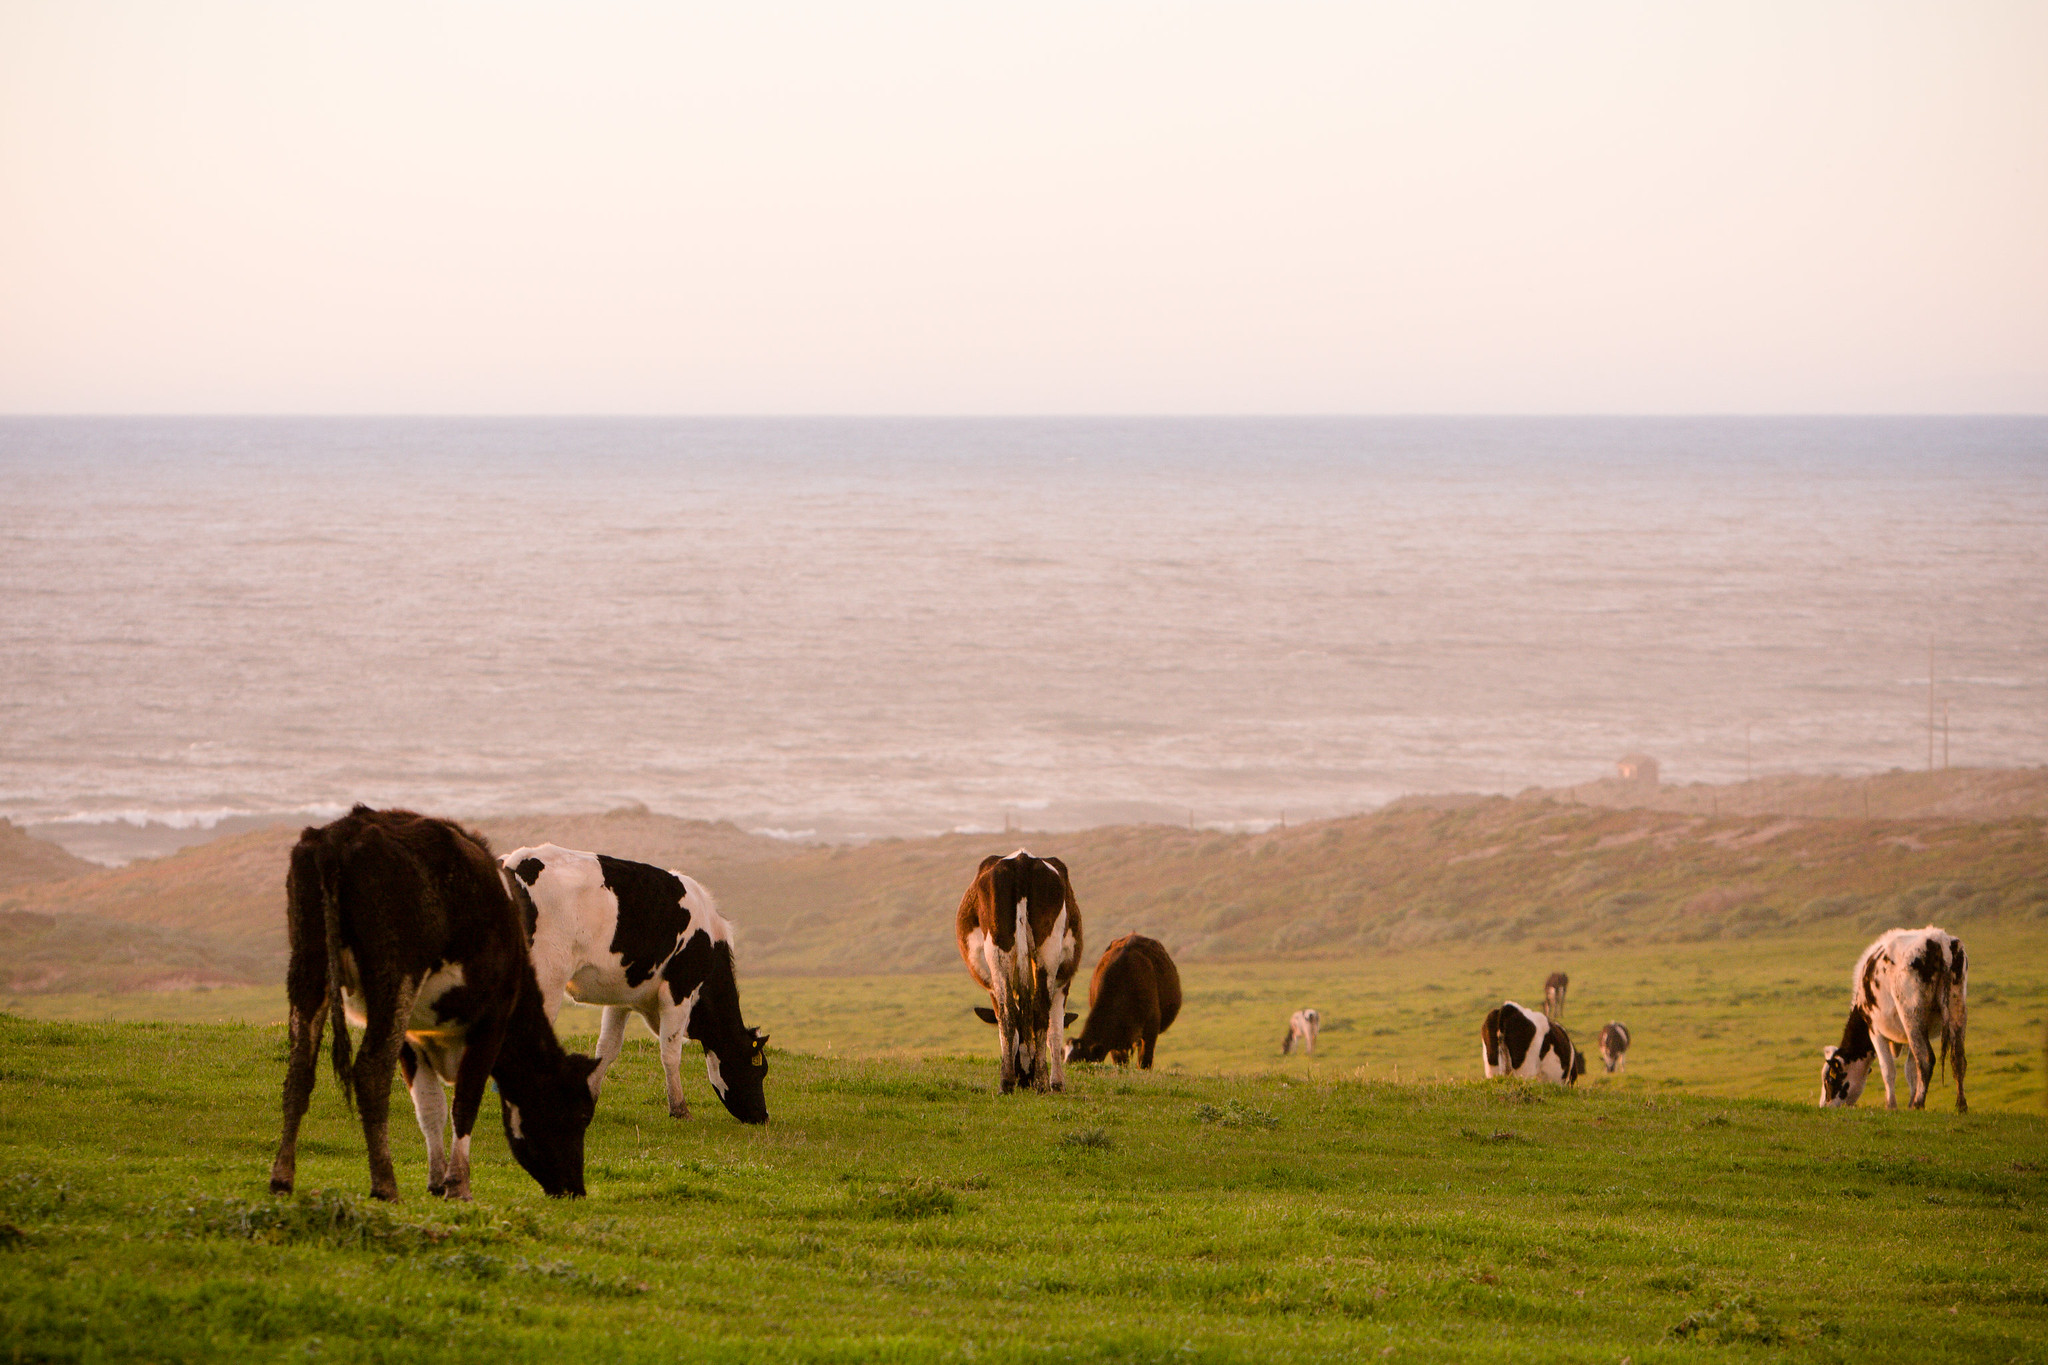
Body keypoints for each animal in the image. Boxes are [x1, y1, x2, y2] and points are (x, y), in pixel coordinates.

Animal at [268, 806, 598, 1203]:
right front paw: (459, 1185)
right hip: (394, 974)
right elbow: (465, 1101)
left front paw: (437, 1181)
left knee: (300, 1070)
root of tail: (340, 833)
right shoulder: (492, 1020)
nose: (575, 1189)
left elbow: (429, 1106)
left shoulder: (413, 1034)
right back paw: (385, 1185)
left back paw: (282, 1178)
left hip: (308, 964)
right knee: (370, 1070)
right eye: (579, 1115)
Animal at [499, 847, 770, 1129]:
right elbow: (670, 1052)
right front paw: (680, 1109)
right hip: (547, 975)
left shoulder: (621, 999)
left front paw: (589, 1100)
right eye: (758, 1069)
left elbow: (607, 1048)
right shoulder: (678, 992)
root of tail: (517, 861)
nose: (763, 1116)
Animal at [958, 847, 1089, 1096]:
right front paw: (1057, 1082)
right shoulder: (1063, 981)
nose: (1024, 1078)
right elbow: (1055, 1029)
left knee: (1009, 1011)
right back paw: (1039, 1081)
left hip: (999, 949)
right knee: (1037, 1011)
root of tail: (1022, 861)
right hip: (1047, 949)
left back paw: (1007, 1082)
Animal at [1826, 925, 1966, 1113]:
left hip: (1911, 1013)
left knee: (1926, 1058)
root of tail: (1938, 938)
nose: (1824, 1106)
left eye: (1830, 1079)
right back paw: (1961, 1106)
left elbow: (1888, 1069)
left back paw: (1918, 1104)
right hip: (1956, 1006)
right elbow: (1911, 1071)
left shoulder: (1875, 1030)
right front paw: (1909, 1100)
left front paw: (1891, 1105)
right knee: (1958, 1057)